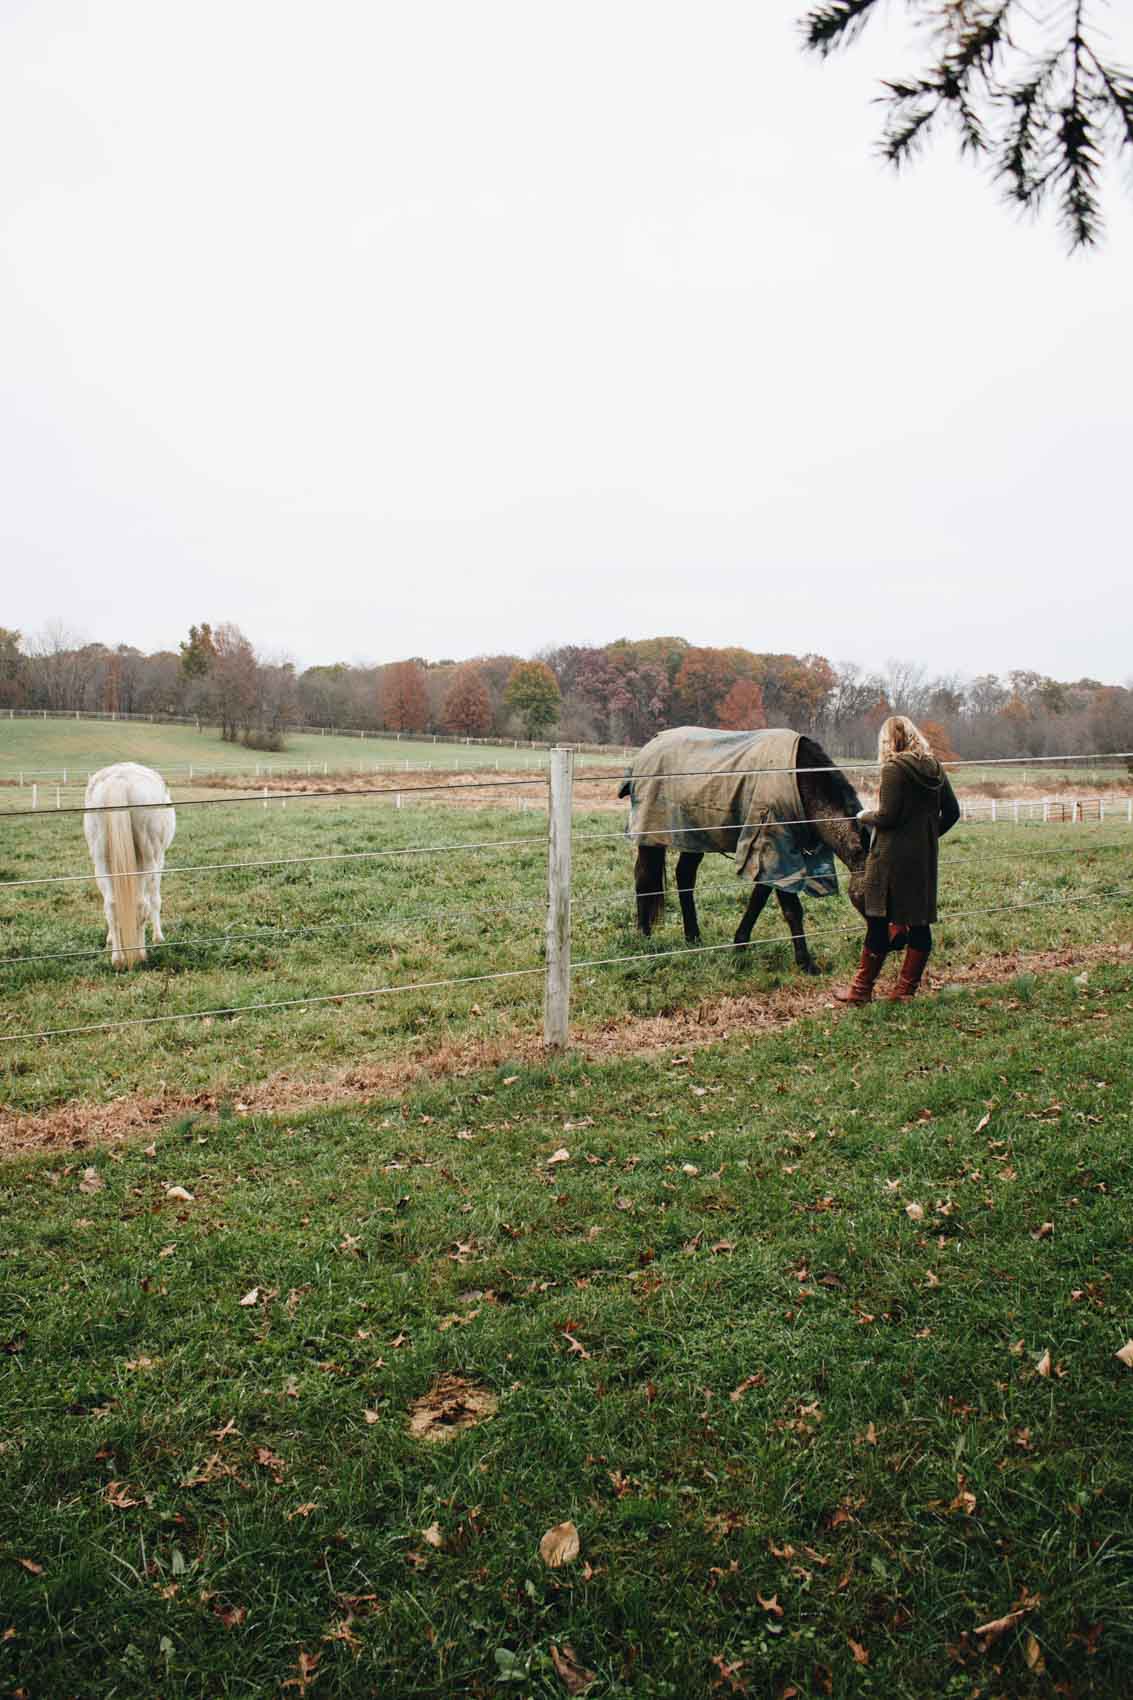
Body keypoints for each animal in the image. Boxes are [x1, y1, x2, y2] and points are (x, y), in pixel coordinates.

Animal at [82, 768, 175, 972]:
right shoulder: (159, 861)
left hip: (101, 860)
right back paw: (139, 955)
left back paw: (118, 958)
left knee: (111, 905)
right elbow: (155, 900)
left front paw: (110, 938)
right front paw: (158, 937)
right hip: (149, 858)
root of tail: (120, 780)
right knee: (141, 904)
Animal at [619, 727, 864, 979]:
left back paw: (693, 938)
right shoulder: (775, 847)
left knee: (684, 877)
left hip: (695, 838)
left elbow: (757, 900)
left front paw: (740, 944)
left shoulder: (772, 856)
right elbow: (792, 910)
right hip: (651, 837)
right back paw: (645, 938)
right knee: (644, 878)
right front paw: (806, 963)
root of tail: (647, 749)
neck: (800, 780)